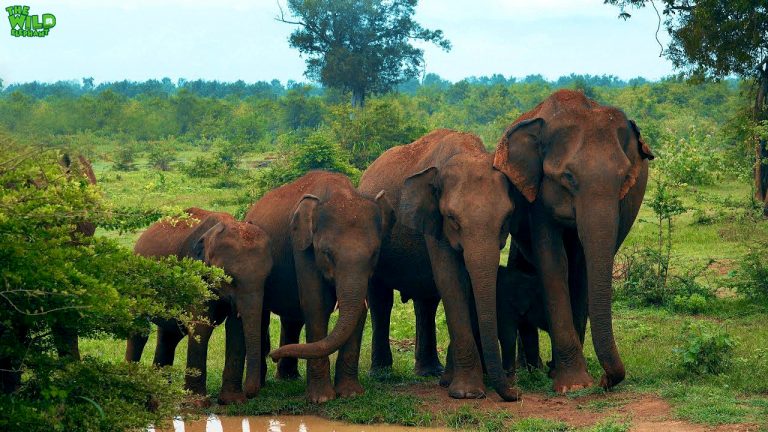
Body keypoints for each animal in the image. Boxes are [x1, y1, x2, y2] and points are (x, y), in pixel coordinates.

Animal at [124, 208, 272, 404]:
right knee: (139, 330)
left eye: (267, 278)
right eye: (229, 278)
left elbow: (236, 327)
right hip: (138, 279)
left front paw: (232, 401)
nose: (250, 393)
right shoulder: (195, 273)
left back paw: (160, 392)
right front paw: (198, 403)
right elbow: (201, 326)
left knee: (170, 335)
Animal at [360, 128, 528, 402]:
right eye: (452, 218)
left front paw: (451, 382)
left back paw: (431, 371)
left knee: (427, 303)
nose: (516, 392)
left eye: (506, 219)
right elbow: (452, 281)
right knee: (380, 299)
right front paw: (467, 393)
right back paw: (381, 374)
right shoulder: (435, 224)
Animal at [492, 89, 656, 394]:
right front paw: (573, 385)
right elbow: (554, 262)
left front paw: (569, 377)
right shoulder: (537, 197)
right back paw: (532, 369)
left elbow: (581, 269)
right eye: (568, 177)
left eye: (624, 179)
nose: (605, 381)